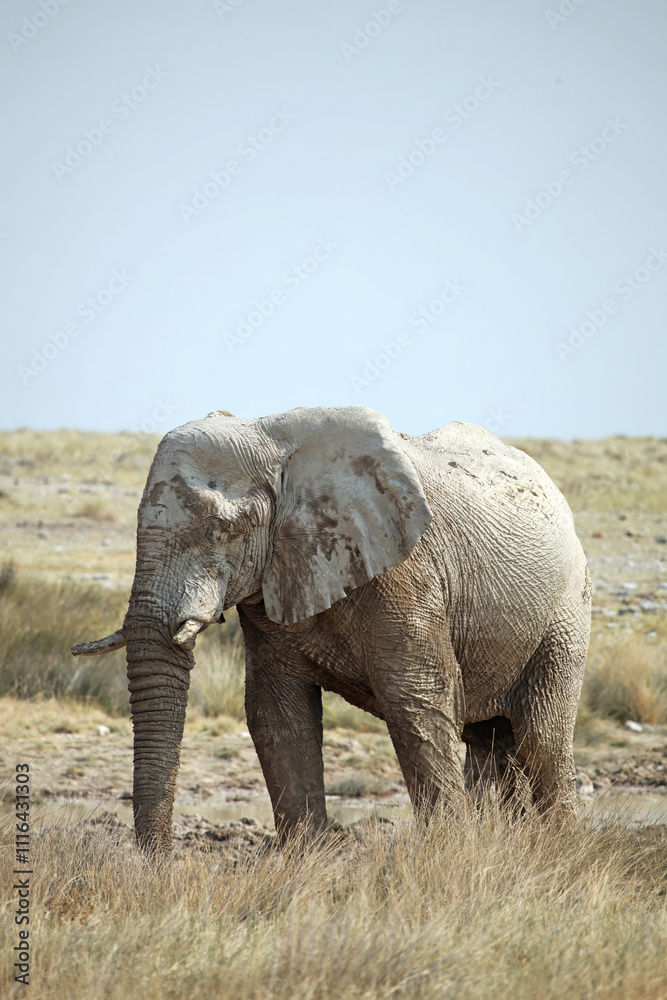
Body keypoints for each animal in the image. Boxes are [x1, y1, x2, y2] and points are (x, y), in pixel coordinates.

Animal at [72, 405, 591, 852]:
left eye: (218, 529)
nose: (162, 864)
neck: (276, 443)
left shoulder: (406, 570)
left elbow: (419, 701)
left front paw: (448, 857)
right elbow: (277, 714)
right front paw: (309, 864)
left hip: (567, 610)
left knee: (541, 737)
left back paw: (559, 850)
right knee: (490, 740)